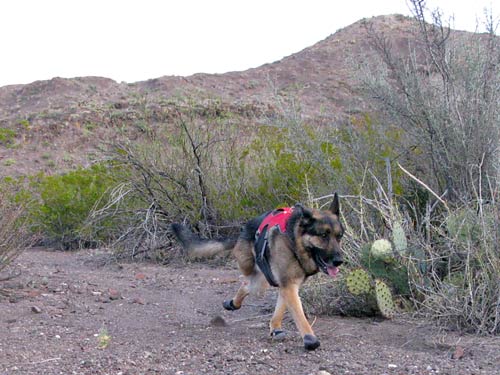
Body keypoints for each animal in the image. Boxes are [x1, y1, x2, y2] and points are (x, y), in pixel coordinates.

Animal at [171, 194, 344, 352]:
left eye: (339, 236)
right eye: (323, 235)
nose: (339, 261)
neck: (295, 241)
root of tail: (243, 230)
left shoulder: (288, 284)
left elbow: (281, 308)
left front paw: (276, 326)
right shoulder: (288, 284)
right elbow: (299, 316)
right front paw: (310, 338)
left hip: (266, 280)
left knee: (251, 285)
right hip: (253, 272)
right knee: (247, 283)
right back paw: (235, 301)